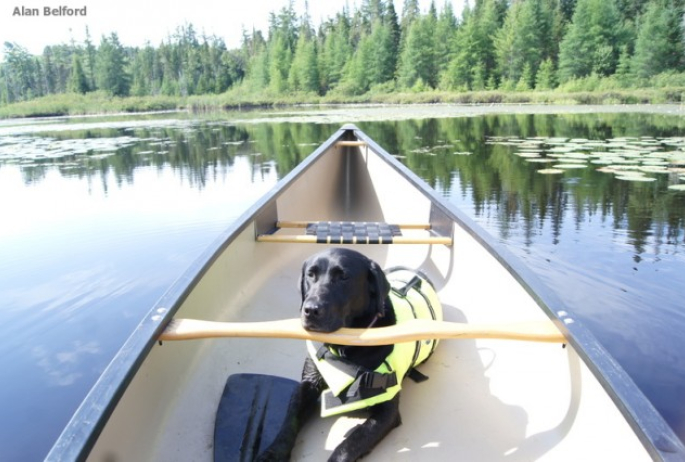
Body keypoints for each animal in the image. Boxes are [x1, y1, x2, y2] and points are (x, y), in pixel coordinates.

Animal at [256, 249, 438, 462]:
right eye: (310, 274)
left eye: (343, 277)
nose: (310, 310)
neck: (344, 347)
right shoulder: (307, 383)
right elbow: (289, 421)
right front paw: (272, 453)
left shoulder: (387, 410)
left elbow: (351, 443)